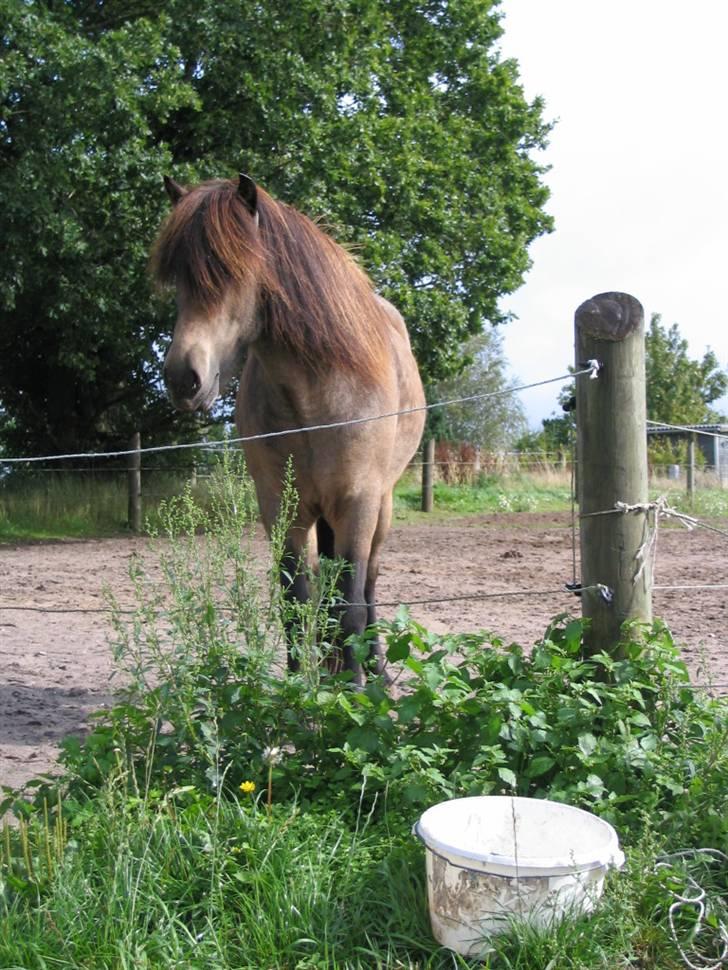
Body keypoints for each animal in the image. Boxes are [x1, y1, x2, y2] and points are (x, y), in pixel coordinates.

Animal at [152, 176, 426, 688]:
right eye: (178, 276)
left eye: (231, 269)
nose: (183, 378)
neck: (316, 400)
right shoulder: (282, 507)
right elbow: (296, 602)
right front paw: (302, 687)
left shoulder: (357, 502)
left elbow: (350, 603)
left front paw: (355, 690)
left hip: (382, 505)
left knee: (369, 586)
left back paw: (375, 672)